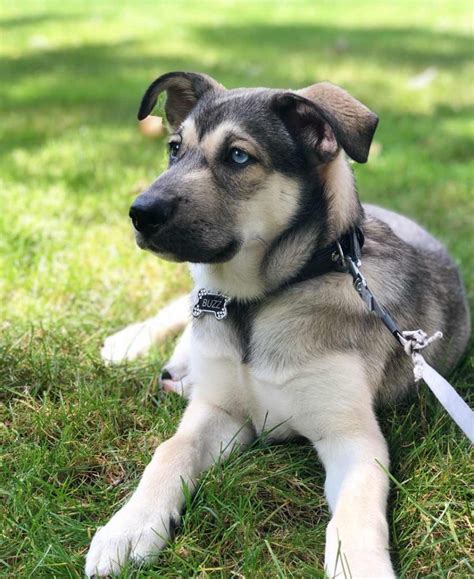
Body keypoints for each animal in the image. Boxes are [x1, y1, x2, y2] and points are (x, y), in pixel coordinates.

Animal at [86, 73, 470, 579]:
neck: (262, 301)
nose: (139, 213)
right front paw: (128, 527)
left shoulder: (351, 436)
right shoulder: (220, 410)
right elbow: (170, 451)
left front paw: (359, 564)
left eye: (238, 156)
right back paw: (134, 343)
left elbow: (356, 510)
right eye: (173, 149)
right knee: (179, 308)